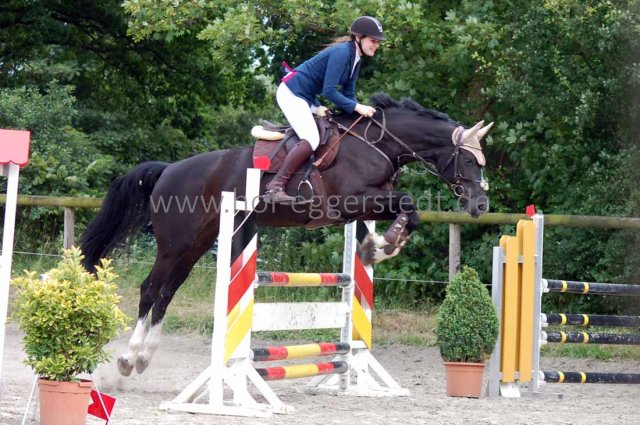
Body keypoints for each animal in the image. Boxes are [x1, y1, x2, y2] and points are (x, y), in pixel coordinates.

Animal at [79, 93, 493, 377]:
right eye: (469, 159)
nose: (480, 204)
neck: (377, 145)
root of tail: (168, 169)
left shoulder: (365, 206)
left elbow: (411, 211)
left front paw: (379, 246)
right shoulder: (350, 200)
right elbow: (408, 202)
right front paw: (382, 245)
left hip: (196, 244)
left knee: (167, 291)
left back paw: (144, 357)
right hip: (174, 244)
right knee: (151, 288)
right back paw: (127, 358)